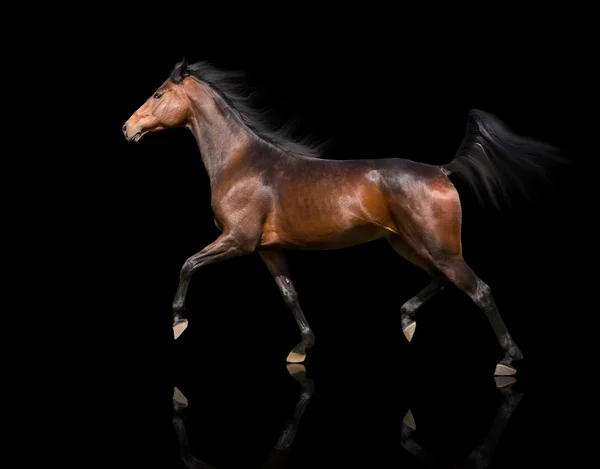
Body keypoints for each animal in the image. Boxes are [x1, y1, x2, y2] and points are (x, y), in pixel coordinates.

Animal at [123, 56, 568, 374]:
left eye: (158, 94)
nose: (127, 129)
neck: (241, 162)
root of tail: (441, 171)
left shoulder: (238, 240)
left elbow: (187, 264)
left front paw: (178, 323)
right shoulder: (268, 249)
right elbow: (289, 294)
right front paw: (301, 349)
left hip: (438, 246)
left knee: (478, 289)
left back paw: (507, 360)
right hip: (407, 244)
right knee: (441, 281)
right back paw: (406, 321)